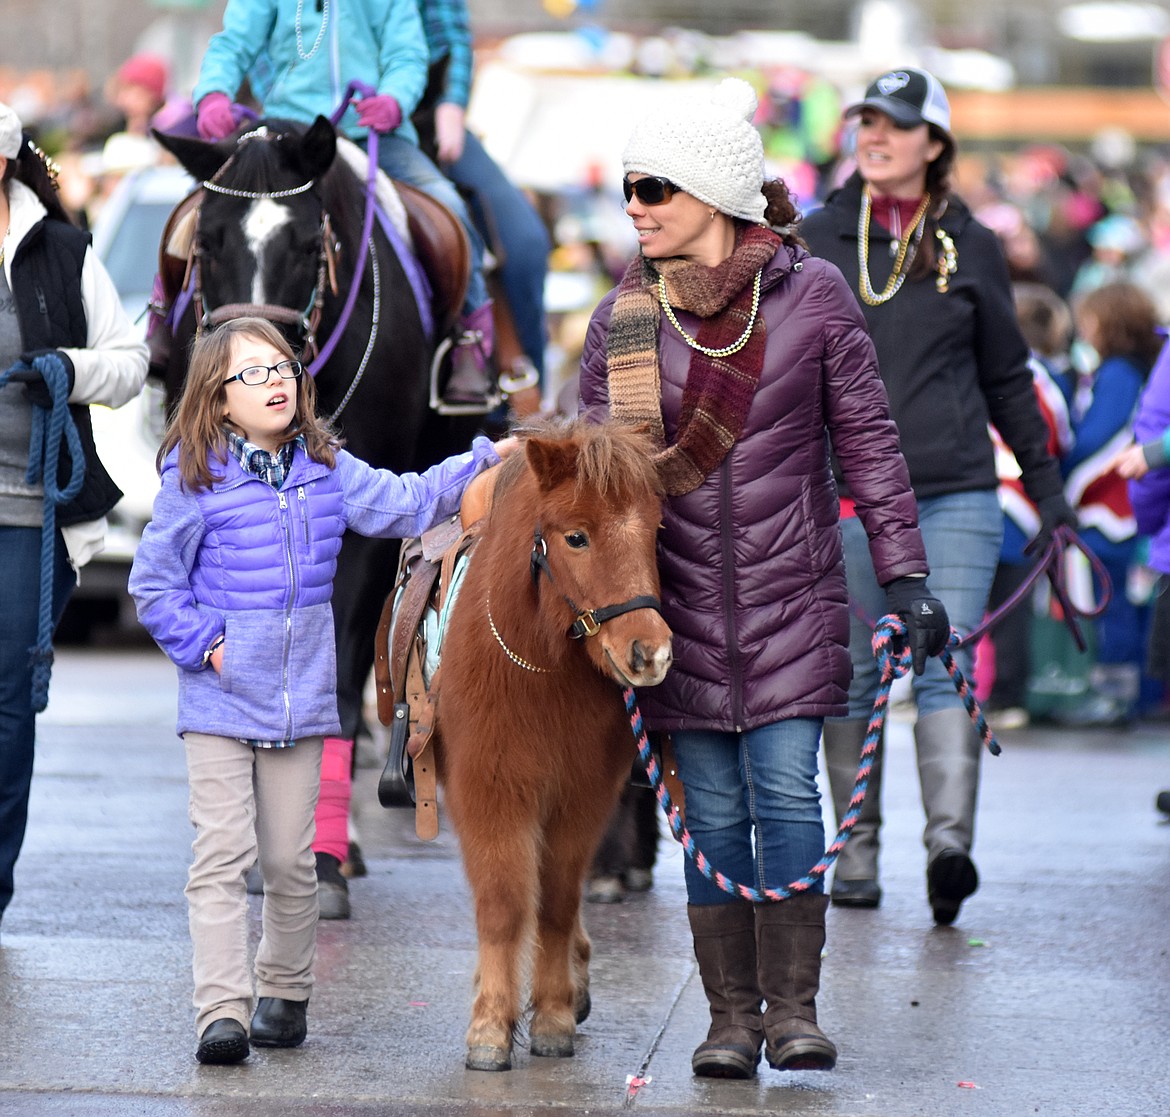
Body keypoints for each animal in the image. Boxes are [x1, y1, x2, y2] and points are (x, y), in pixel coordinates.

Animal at [437, 421, 678, 1076]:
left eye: (657, 532)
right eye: (576, 537)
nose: (650, 653)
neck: (540, 669)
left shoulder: (582, 798)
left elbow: (557, 904)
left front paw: (551, 1016)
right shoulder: (488, 792)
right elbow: (503, 905)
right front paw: (491, 1027)